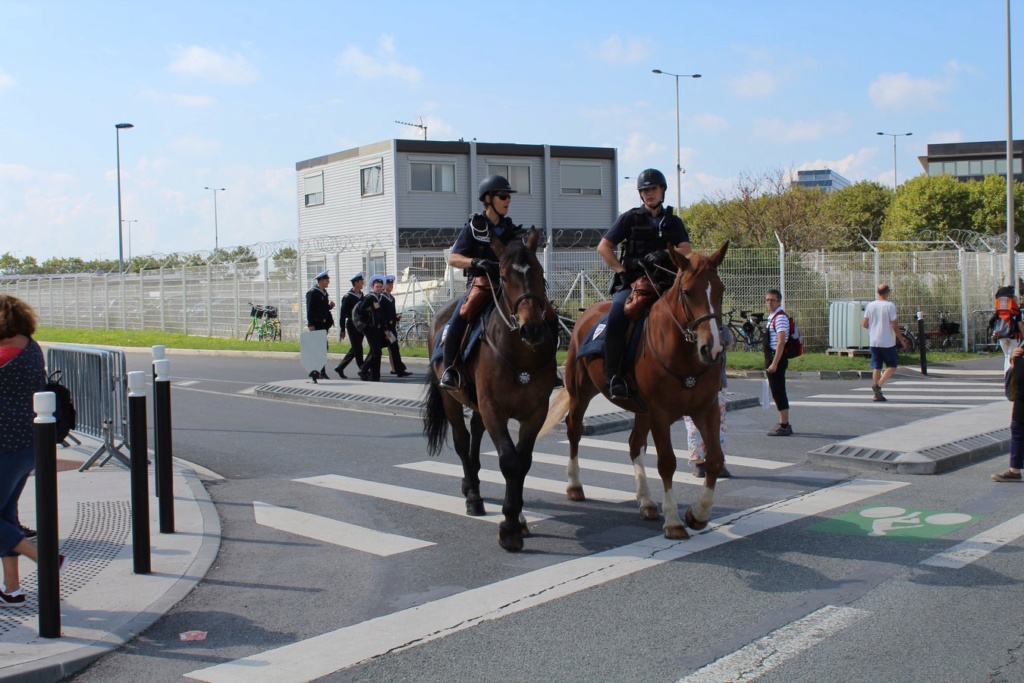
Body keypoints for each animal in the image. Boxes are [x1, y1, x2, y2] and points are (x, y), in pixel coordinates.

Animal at [419, 227, 557, 552]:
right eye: (503, 277)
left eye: (539, 272)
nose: (532, 328)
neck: (521, 355)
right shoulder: (495, 409)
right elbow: (509, 460)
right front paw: (509, 527)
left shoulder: (536, 412)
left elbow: (523, 461)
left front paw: (518, 517)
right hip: (451, 400)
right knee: (462, 441)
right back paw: (473, 497)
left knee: (475, 436)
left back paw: (471, 483)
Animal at [544, 244, 729, 540]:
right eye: (688, 291)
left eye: (720, 290)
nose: (711, 349)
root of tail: (585, 314)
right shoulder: (661, 413)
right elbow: (667, 462)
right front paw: (674, 521)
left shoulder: (706, 409)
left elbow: (714, 459)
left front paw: (698, 515)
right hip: (581, 390)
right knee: (574, 429)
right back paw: (574, 485)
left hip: (641, 410)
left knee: (634, 444)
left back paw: (646, 501)